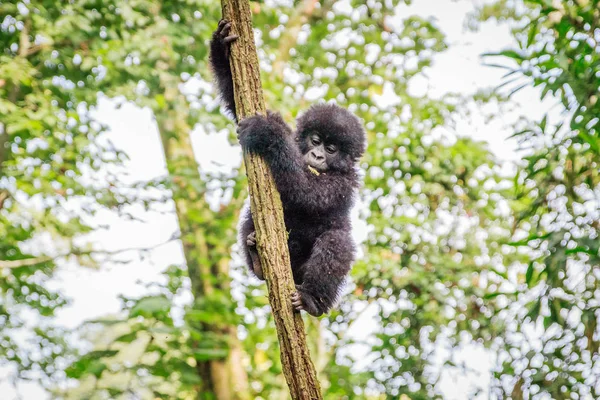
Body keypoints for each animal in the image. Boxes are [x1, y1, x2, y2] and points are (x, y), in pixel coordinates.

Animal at [211, 20, 366, 318]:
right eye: (315, 140)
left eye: (331, 148)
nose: (317, 154)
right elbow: (237, 102)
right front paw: (221, 44)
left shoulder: (344, 181)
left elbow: (306, 192)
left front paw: (266, 132)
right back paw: (257, 261)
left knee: (337, 242)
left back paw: (312, 300)